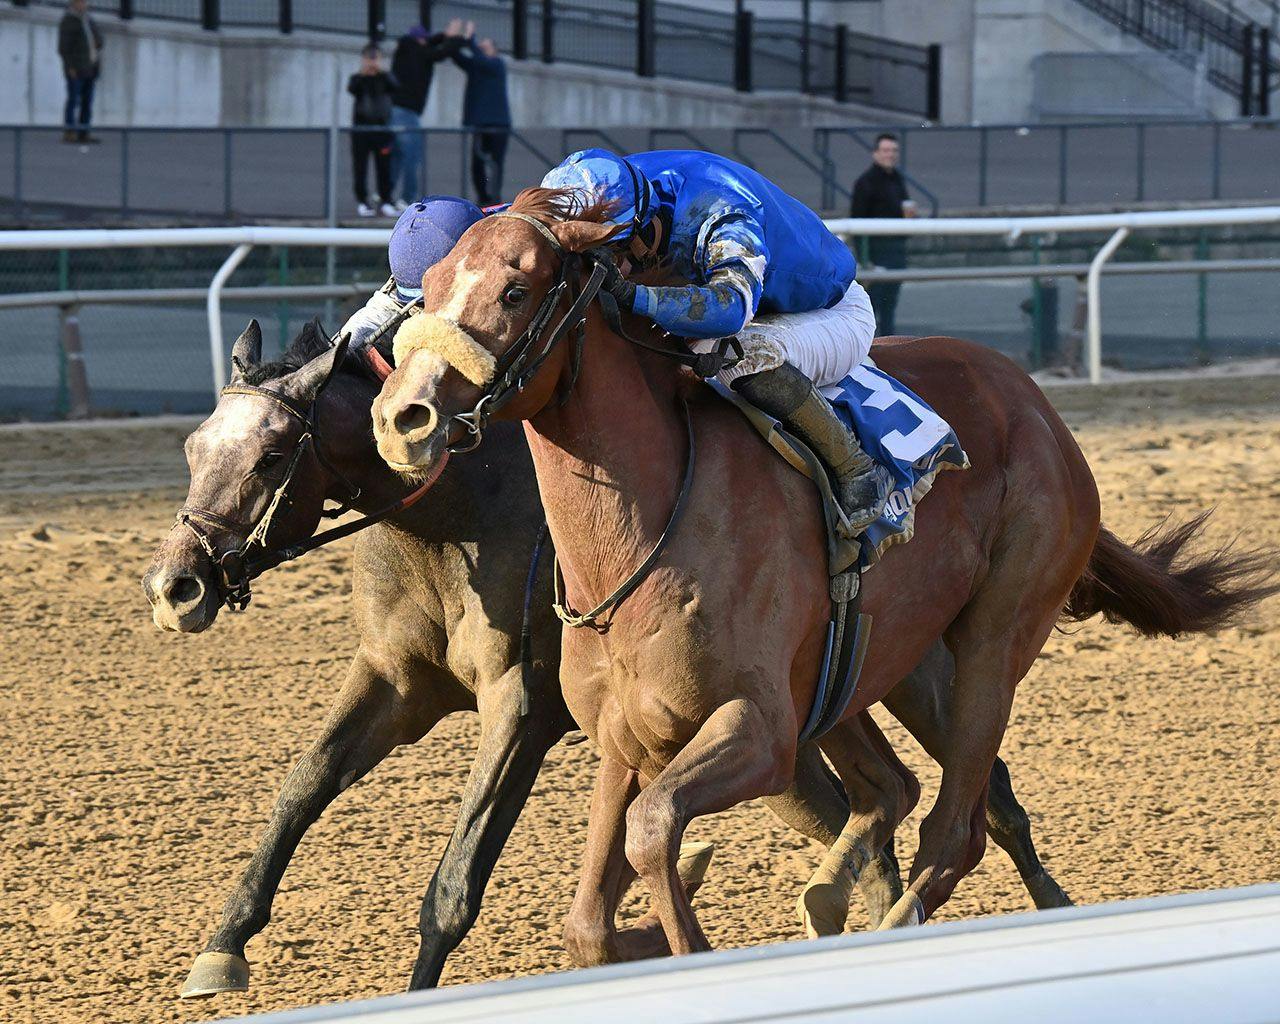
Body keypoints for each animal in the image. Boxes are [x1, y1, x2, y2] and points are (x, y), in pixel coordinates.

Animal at [142, 317, 1070, 993]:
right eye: (192, 448)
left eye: (269, 455)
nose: (174, 584)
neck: (459, 511)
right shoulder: (396, 680)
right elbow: (303, 785)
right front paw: (222, 946)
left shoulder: (522, 704)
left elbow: (455, 883)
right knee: (875, 804)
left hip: (917, 674)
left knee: (982, 795)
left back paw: (1044, 904)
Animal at [371, 189, 1269, 952]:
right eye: (430, 285)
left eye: (515, 291)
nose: (402, 417)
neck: (642, 538)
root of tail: (1039, 406)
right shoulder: (628, 740)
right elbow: (591, 916)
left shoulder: (760, 728)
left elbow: (656, 831)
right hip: (877, 664)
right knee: (895, 788)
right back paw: (842, 895)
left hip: (996, 633)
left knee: (956, 829)